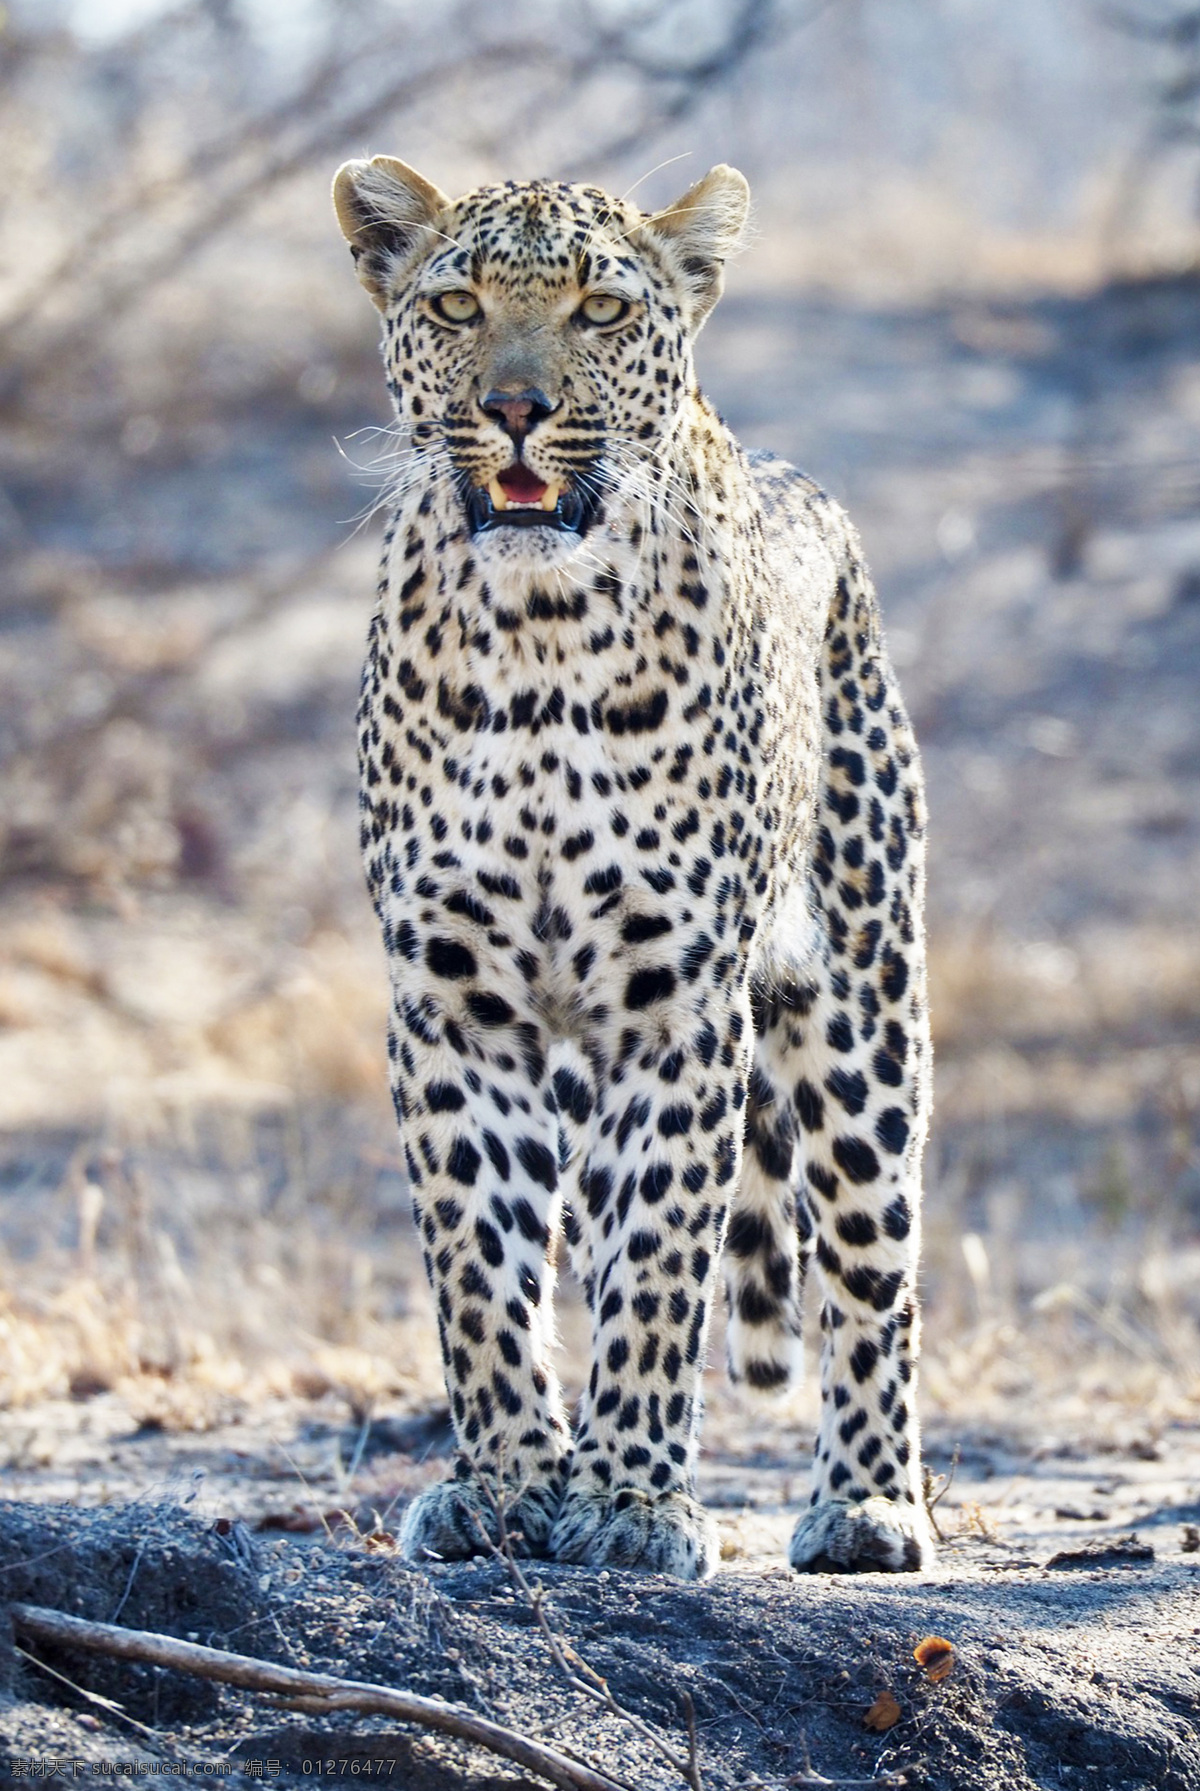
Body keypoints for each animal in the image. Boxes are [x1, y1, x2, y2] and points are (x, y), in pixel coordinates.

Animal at [331, 157, 938, 1583]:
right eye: (456, 303)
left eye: (601, 309)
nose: (514, 409)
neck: (542, 636)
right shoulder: (453, 1001)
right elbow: (481, 1264)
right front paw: (506, 1485)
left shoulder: (679, 1004)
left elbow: (666, 1259)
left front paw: (630, 1501)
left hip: (866, 1003)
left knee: (871, 1261)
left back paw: (869, 1505)